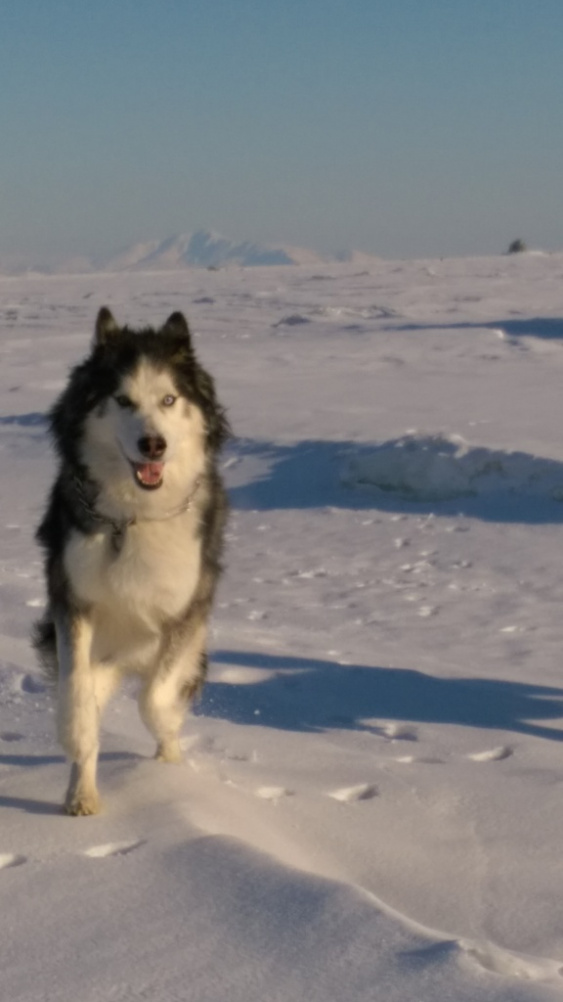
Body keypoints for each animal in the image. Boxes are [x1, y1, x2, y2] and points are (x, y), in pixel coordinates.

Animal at [33, 307, 230, 815]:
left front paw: (167, 751)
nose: (152, 445)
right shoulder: (71, 599)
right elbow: (76, 691)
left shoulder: (186, 612)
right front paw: (76, 734)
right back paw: (81, 793)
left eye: (168, 399)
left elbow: (156, 699)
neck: (132, 516)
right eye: (122, 401)